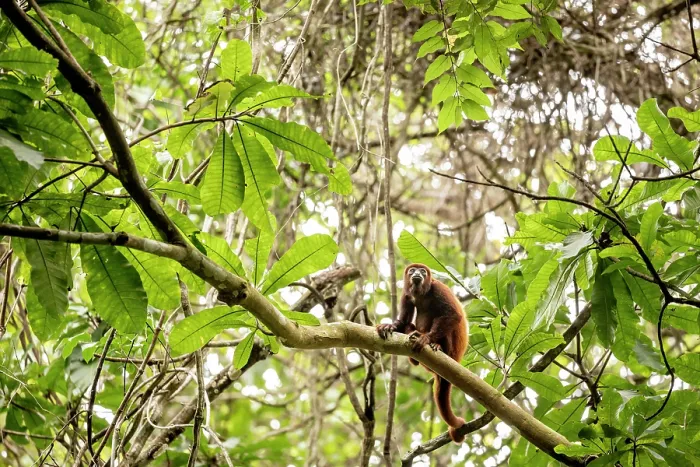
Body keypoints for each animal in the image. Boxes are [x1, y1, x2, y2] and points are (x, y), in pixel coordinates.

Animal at [376, 263, 469, 443]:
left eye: (423, 271)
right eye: (412, 270)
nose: (417, 273)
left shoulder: (438, 288)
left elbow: (454, 315)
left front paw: (426, 339)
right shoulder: (406, 294)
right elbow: (403, 321)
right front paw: (389, 326)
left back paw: (436, 345)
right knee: (408, 326)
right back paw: (414, 356)